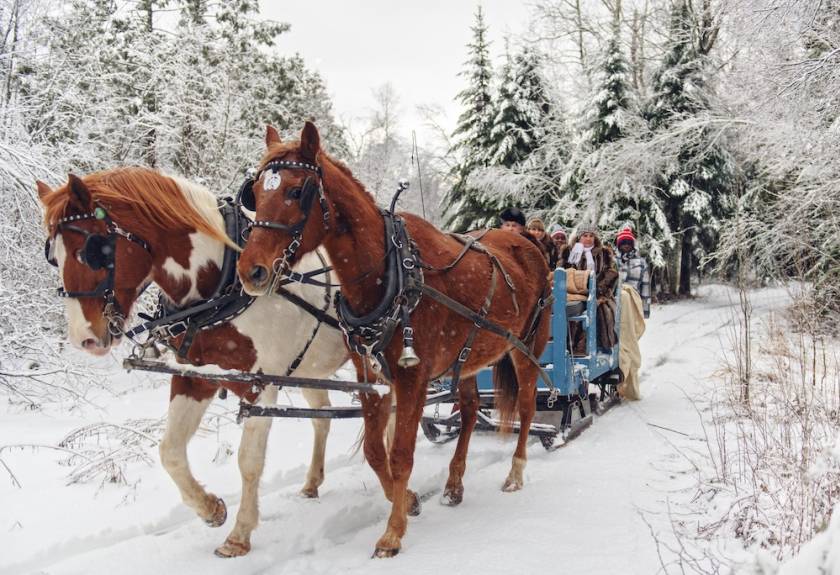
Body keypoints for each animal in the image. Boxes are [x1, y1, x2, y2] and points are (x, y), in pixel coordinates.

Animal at [37, 167, 348, 558]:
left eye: (92, 251)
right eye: (53, 257)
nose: (84, 338)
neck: (223, 284)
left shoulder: (260, 386)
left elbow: (249, 460)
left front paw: (239, 534)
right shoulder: (195, 377)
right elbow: (169, 450)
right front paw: (210, 508)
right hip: (309, 370)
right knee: (324, 416)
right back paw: (312, 482)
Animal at [236, 122, 553, 557]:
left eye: (296, 191)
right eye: (255, 191)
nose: (250, 271)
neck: (389, 275)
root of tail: (529, 241)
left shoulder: (413, 378)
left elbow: (401, 454)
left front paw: (393, 532)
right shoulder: (371, 377)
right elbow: (375, 452)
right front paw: (408, 501)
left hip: (527, 347)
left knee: (525, 407)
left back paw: (515, 472)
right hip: (469, 357)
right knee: (471, 411)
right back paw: (454, 484)